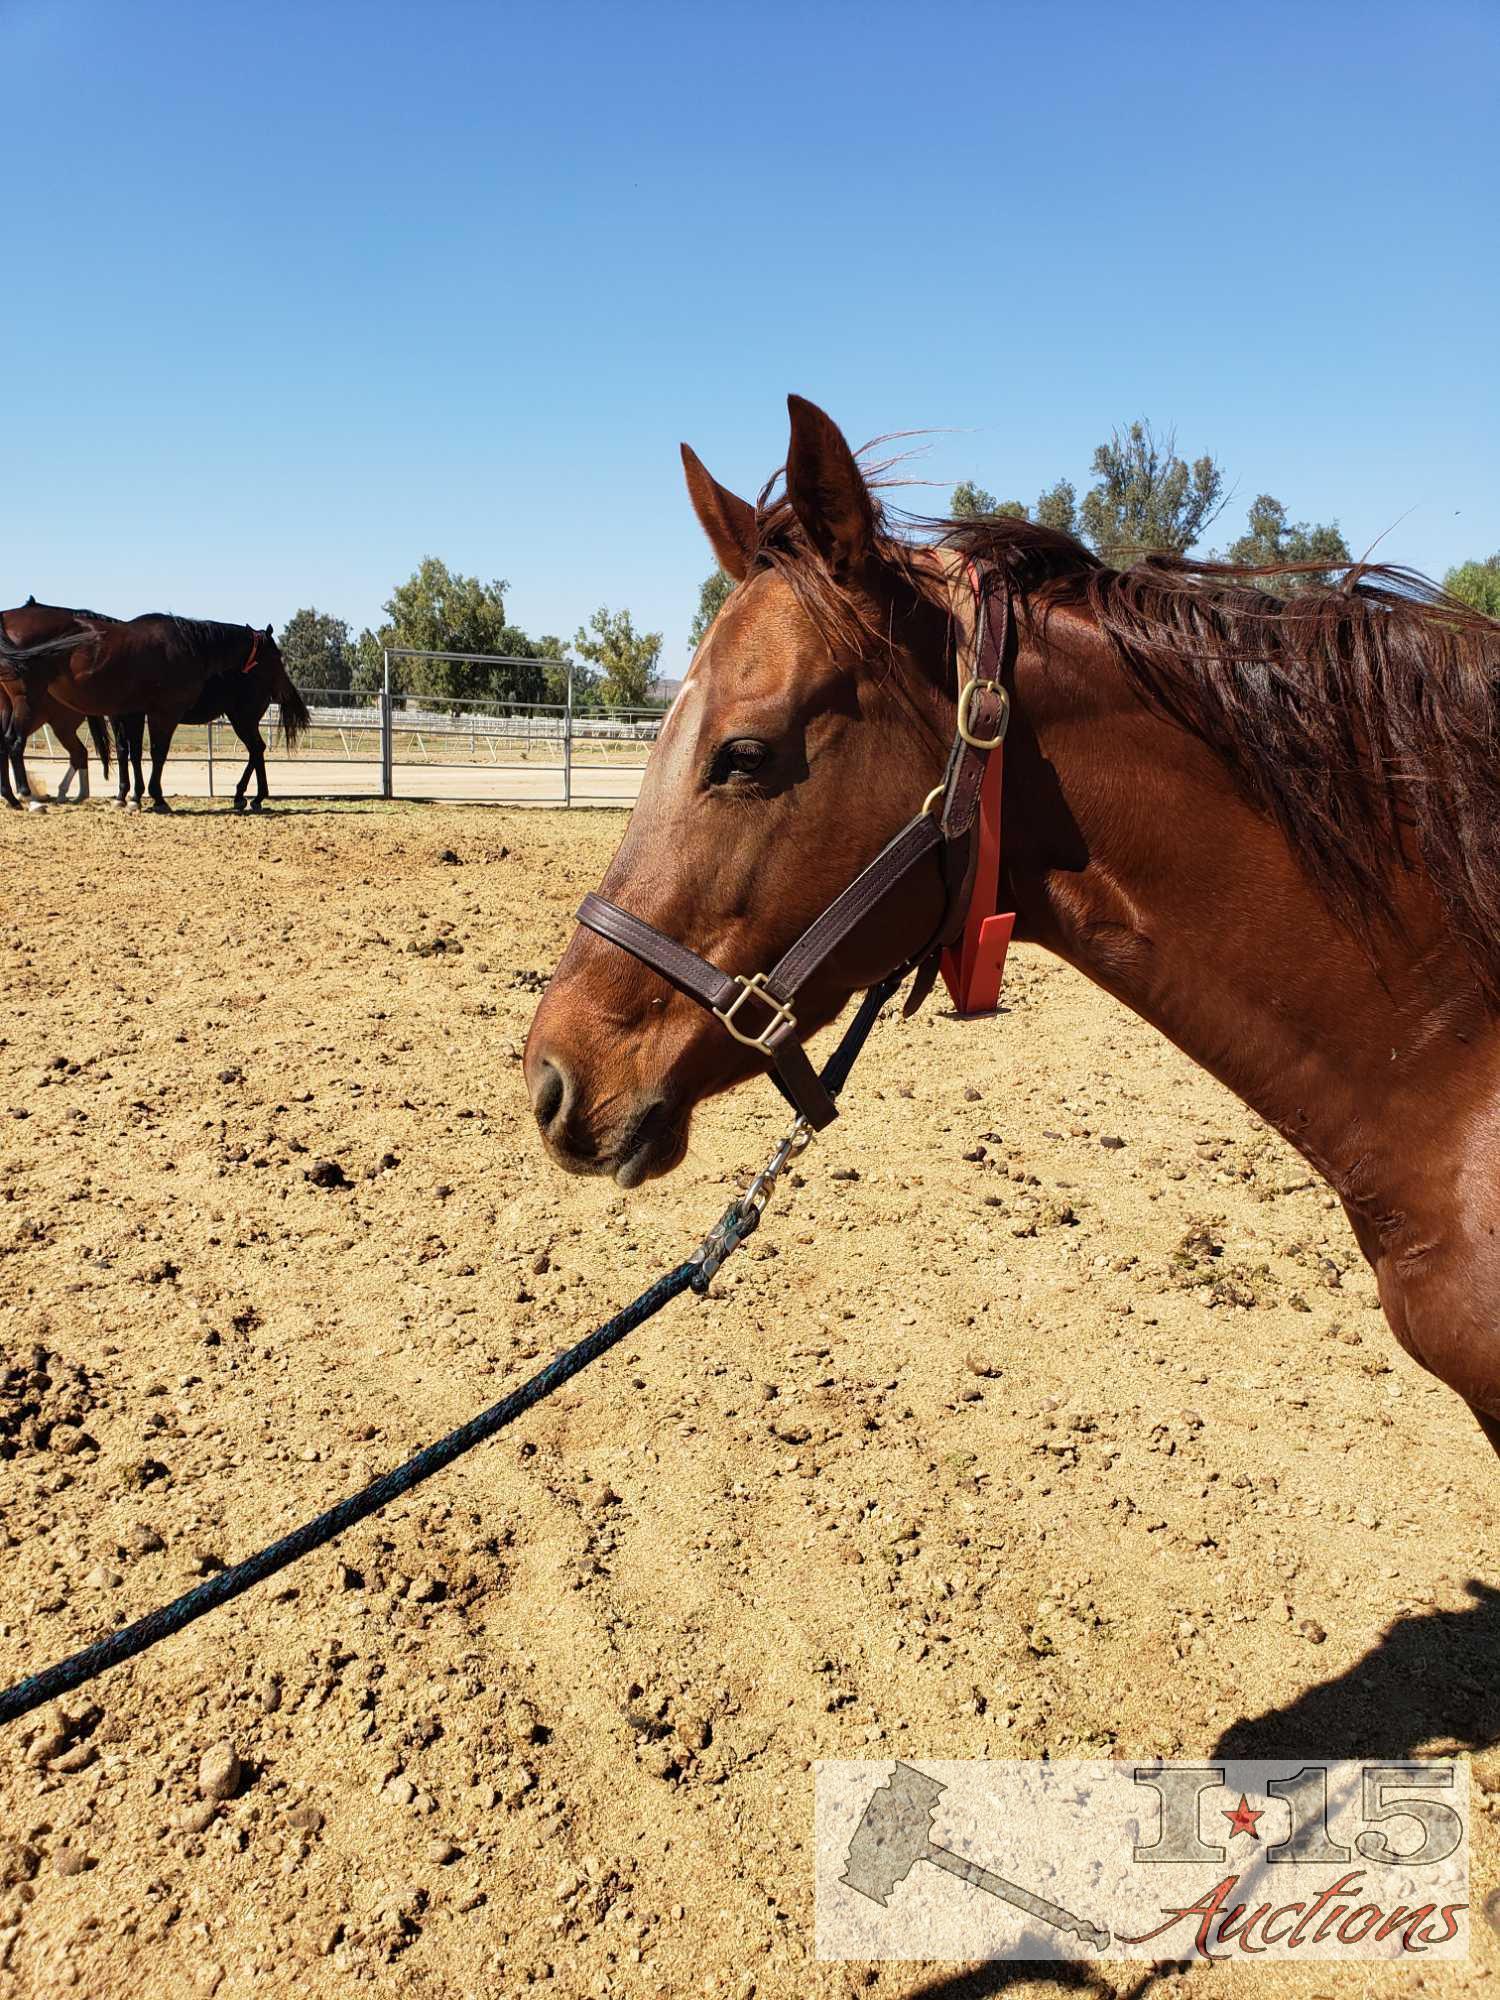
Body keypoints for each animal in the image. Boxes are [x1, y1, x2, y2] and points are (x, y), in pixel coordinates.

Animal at [4, 616, 312, 820]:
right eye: (276, 654)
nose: (284, 688)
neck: (189, 648)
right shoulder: (155, 713)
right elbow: (149, 753)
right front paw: (146, 797)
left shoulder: (139, 713)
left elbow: (140, 754)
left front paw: (137, 797)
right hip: (27, 704)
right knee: (14, 744)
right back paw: (27, 798)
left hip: (242, 719)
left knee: (256, 750)